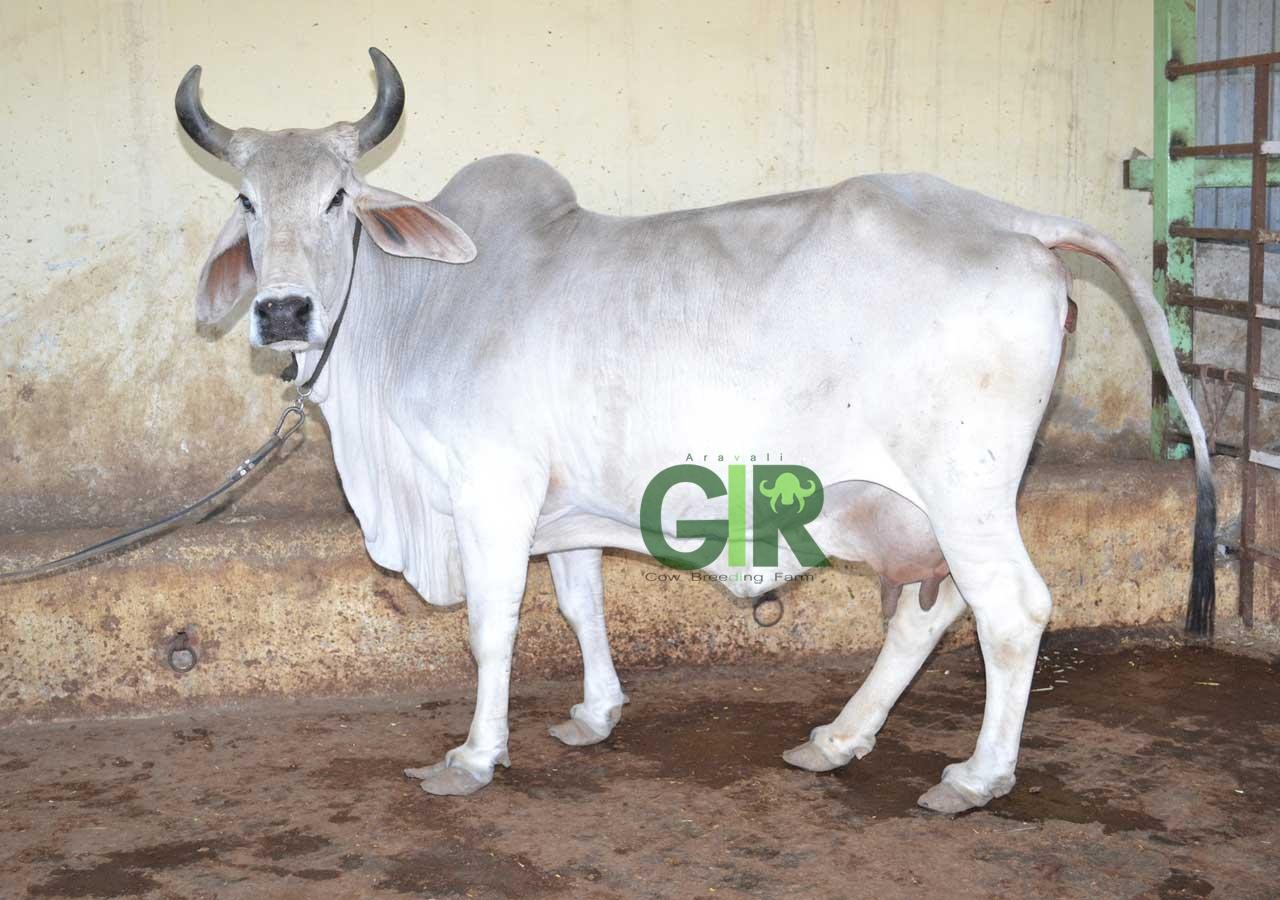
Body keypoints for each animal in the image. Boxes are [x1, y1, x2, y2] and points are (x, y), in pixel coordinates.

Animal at [176, 49, 1215, 814]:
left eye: (339, 199)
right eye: (246, 201)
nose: (282, 312)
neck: (423, 308)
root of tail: (1015, 222)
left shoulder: (492, 491)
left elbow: (490, 624)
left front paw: (473, 756)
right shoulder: (566, 508)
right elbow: (580, 607)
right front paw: (595, 714)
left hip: (967, 488)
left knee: (1012, 611)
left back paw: (975, 776)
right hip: (924, 503)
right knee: (933, 612)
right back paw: (838, 739)